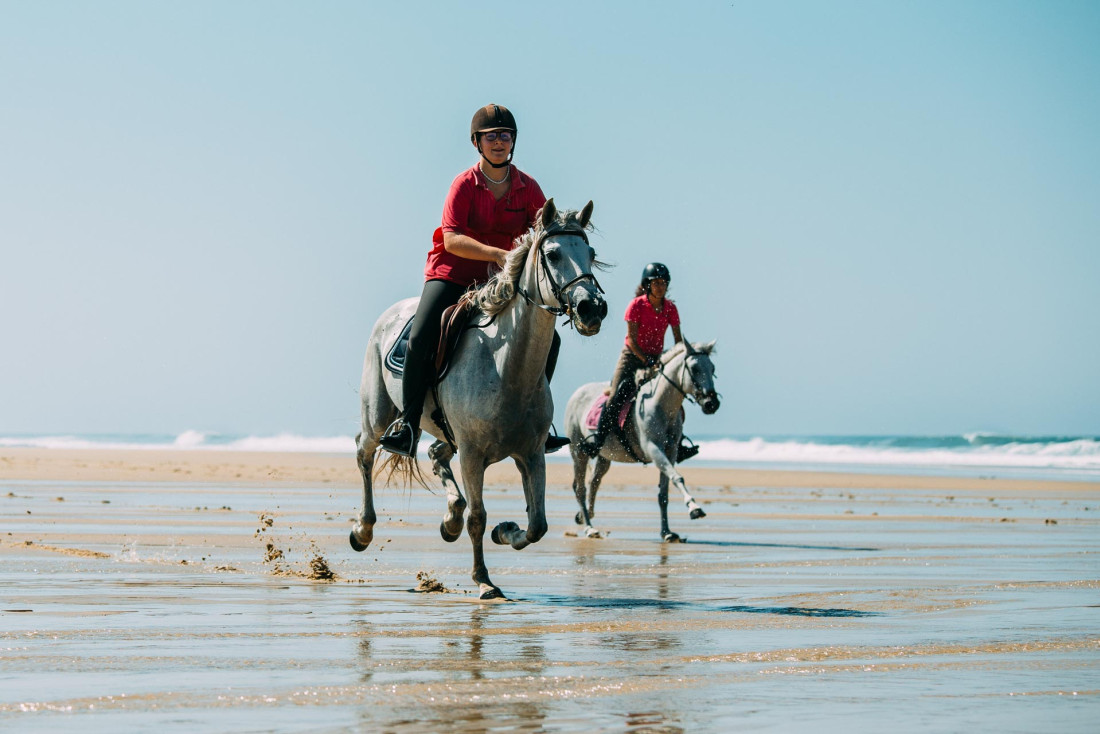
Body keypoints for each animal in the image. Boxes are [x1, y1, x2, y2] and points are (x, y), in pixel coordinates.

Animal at [352, 199, 607, 598]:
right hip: (377, 414)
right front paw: (484, 580)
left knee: (436, 453)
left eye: (591, 253)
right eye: (552, 254)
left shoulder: (531, 453)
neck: (506, 367)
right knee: (364, 452)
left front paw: (506, 532)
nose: (591, 308)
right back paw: (362, 530)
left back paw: (449, 520)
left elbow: (538, 524)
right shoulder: (472, 455)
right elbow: (478, 517)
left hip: (445, 433)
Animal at [567, 341, 721, 543]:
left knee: (594, 482)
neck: (660, 404)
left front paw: (667, 532)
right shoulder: (653, 449)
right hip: (578, 452)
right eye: (695, 368)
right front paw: (694, 508)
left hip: (604, 456)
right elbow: (677, 477)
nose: (712, 403)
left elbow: (664, 493)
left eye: (713, 368)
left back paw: (586, 516)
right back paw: (590, 528)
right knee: (580, 488)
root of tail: (577, 393)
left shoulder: (670, 451)